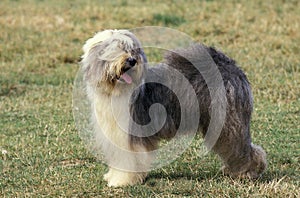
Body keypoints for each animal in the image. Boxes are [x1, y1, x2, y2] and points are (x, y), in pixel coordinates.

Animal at [80, 28, 268, 186]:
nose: (132, 60)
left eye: (133, 50)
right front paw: (113, 176)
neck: (116, 91)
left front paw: (121, 181)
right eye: (118, 49)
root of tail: (230, 65)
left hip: (227, 122)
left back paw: (247, 172)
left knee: (241, 147)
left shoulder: (129, 135)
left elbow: (127, 159)